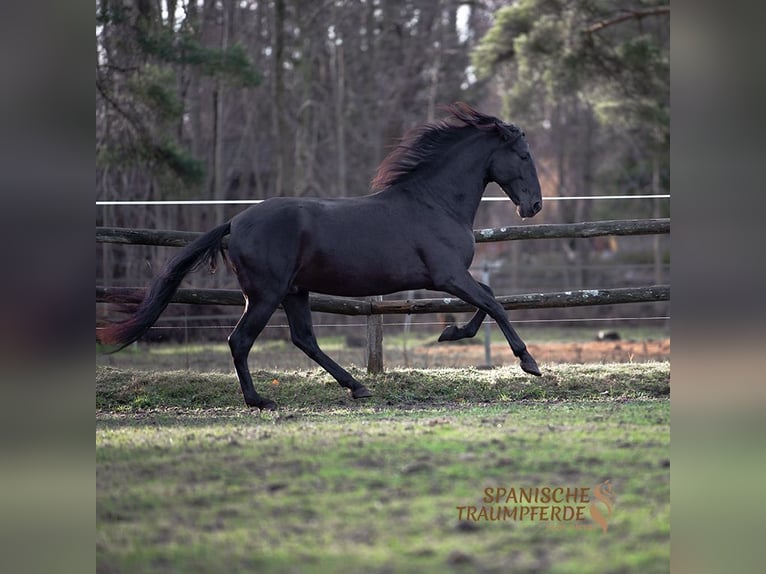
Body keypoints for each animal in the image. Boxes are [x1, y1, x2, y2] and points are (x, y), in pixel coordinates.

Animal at [99, 102, 544, 410]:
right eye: (523, 156)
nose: (534, 206)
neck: (434, 202)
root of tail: (235, 222)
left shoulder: (451, 277)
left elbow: (488, 299)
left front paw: (451, 333)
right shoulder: (447, 275)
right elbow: (494, 302)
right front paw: (529, 363)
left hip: (294, 292)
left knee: (304, 339)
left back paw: (357, 387)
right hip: (265, 295)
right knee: (241, 340)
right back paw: (260, 400)